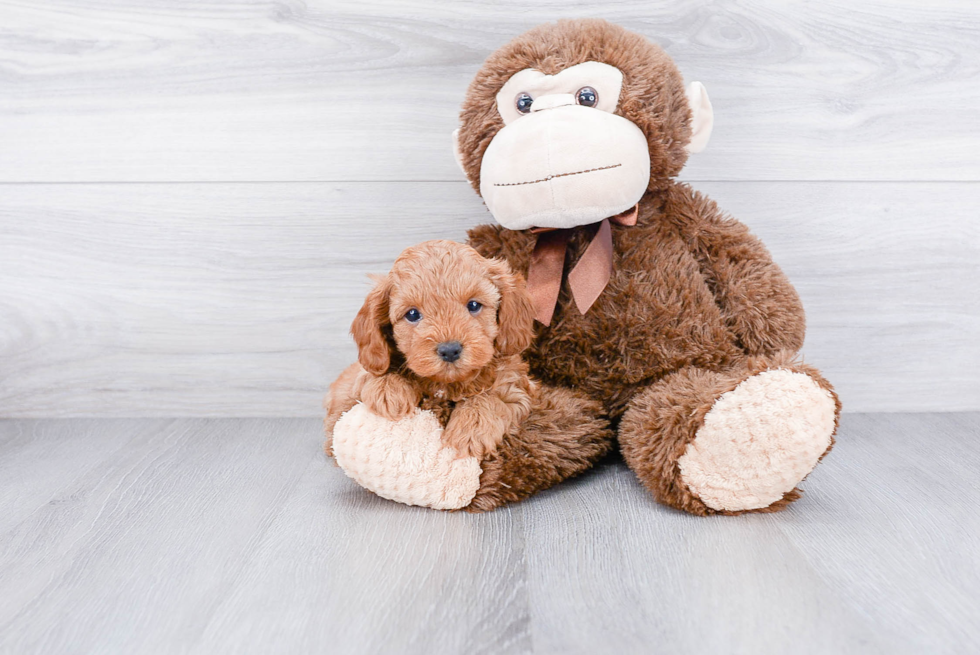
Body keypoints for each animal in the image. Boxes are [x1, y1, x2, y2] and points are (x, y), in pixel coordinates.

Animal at [326, 238, 536, 458]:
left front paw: (471, 429)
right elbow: (373, 373)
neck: (447, 384)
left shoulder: (517, 388)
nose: (450, 350)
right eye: (412, 314)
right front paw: (388, 390)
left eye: (473, 305)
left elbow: (494, 397)